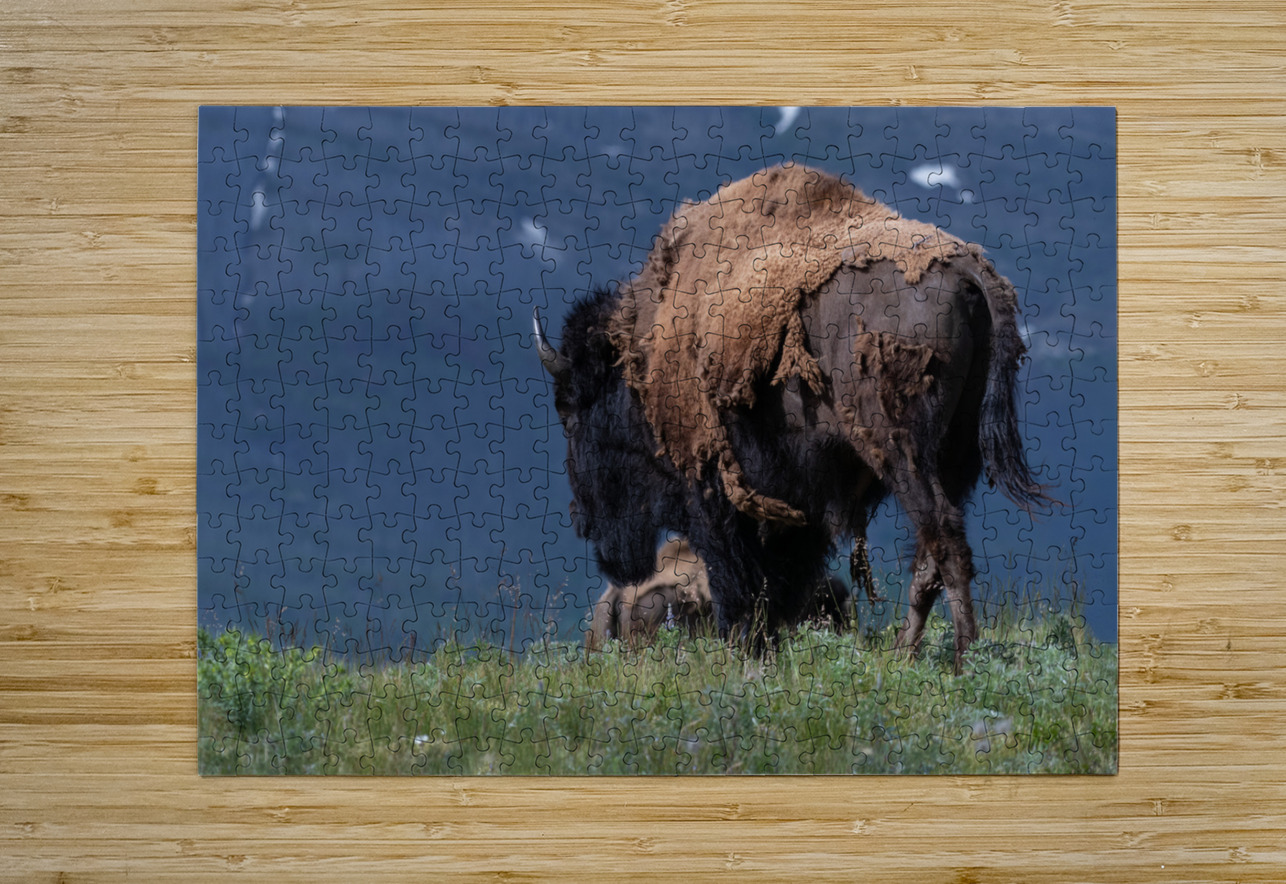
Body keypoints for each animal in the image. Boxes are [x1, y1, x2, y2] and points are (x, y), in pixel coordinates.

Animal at [537, 165, 1045, 672]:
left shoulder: (718, 495)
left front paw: (749, 650)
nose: (583, 520)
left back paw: (962, 659)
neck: (643, 354)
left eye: (571, 410)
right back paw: (906, 654)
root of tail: (967, 271)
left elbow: (743, 580)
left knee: (943, 540)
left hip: (903, 451)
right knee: (930, 557)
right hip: (957, 455)